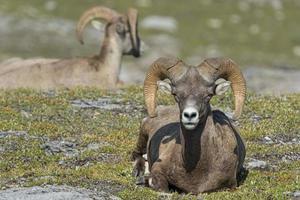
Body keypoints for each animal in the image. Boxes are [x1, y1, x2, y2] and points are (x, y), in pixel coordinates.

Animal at [132, 56, 247, 194]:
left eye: (209, 95)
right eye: (176, 95)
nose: (190, 115)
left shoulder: (231, 185)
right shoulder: (158, 169)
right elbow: (162, 187)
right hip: (143, 134)